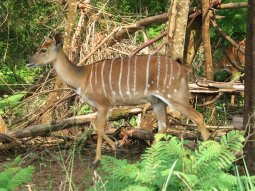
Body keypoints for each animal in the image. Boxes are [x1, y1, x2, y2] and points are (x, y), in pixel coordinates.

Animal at [27, 33, 209, 165]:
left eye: (43, 50)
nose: (28, 62)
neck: (81, 78)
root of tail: (184, 70)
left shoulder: (104, 104)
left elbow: (100, 127)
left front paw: (97, 160)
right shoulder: (97, 106)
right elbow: (94, 125)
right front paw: (116, 145)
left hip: (175, 96)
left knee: (198, 116)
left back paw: (210, 150)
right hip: (157, 101)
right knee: (164, 125)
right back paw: (150, 157)